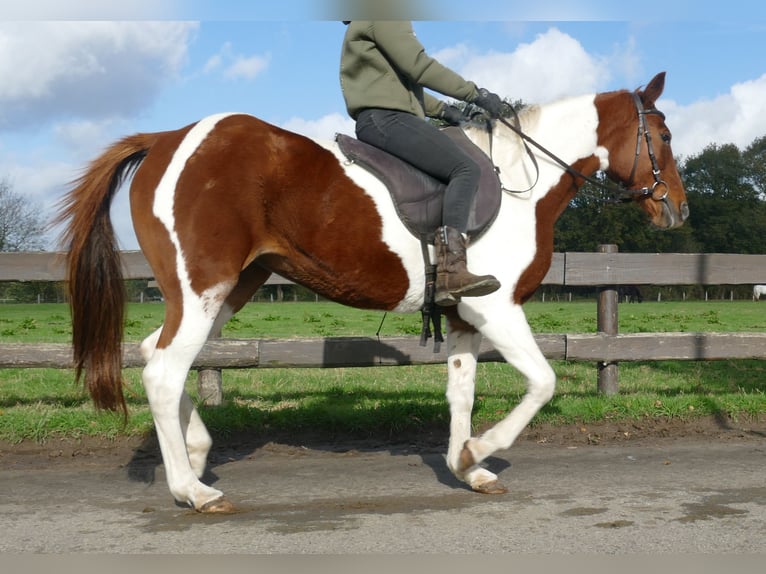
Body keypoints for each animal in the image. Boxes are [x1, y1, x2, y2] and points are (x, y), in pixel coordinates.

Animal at [54, 71, 688, 512]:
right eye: (661, 134)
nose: (678, 211)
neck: (519, 184)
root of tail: (167, 138)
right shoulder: (496, 308)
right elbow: (543, 381)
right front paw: (480, 451)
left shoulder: (465, 317)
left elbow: (461, 393)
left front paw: (466, 466)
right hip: (205, 286)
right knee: (164, 370)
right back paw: (193, 490)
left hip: (231, 287)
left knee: (156, 355)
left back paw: (197, 451)